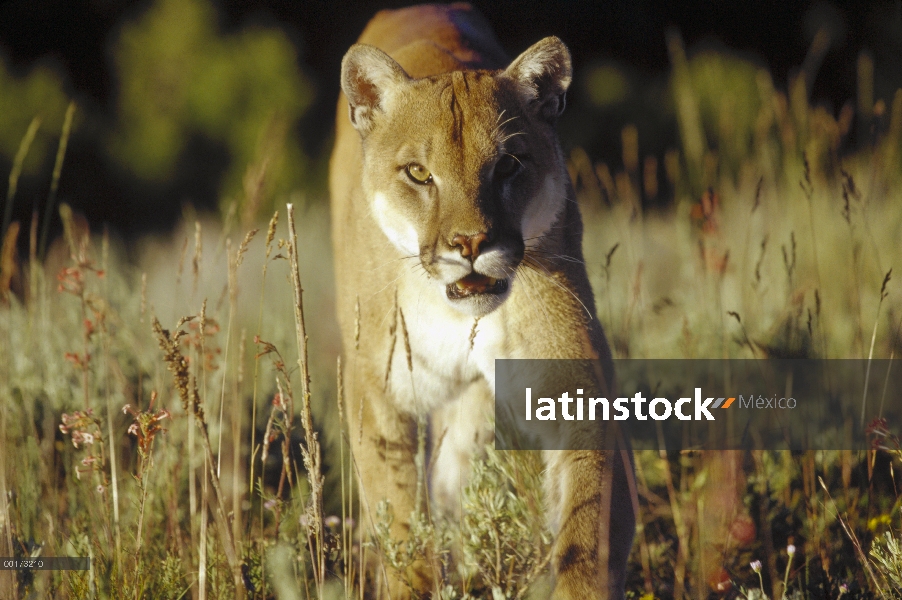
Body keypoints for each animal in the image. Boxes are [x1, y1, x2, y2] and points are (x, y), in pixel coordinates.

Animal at [330, 4, 636, 600]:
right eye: (419, 173)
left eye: (509, 164)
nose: (470, 243)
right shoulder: (377, 391)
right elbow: (401, 521)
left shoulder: (579, 386)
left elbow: (587, 527)